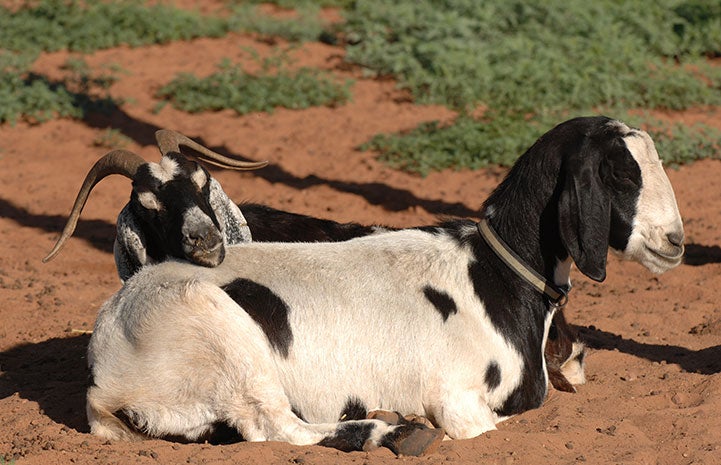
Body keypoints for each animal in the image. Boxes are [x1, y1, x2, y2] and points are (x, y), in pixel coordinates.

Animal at [70, 116, 684, 454]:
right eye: (621, 173)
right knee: (274, 427)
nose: (676, 240)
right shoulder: (456, 399)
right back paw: (392, 433)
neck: (494, 273)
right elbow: (485, 427)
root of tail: (105, 373)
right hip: (224, 342)